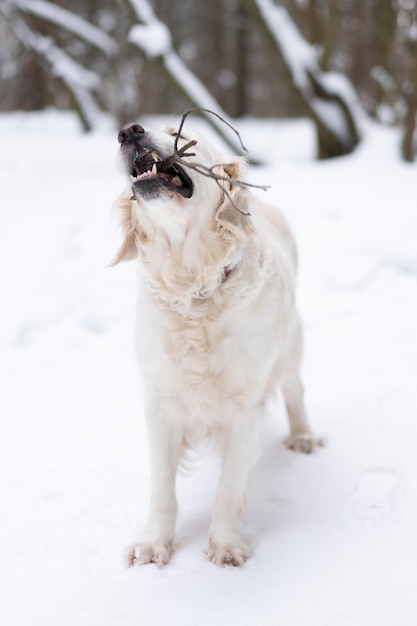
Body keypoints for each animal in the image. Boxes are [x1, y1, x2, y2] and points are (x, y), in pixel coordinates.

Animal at [113, 122, 322, 564]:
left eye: (176, 131)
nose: (129, 131)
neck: (194, 287)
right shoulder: (161, 400)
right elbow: (162, 486)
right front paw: (153, 543)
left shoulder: (245, 406)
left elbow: (229, 487)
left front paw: (225, 545)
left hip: (291, 343)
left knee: (295, 389)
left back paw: (302, 435)